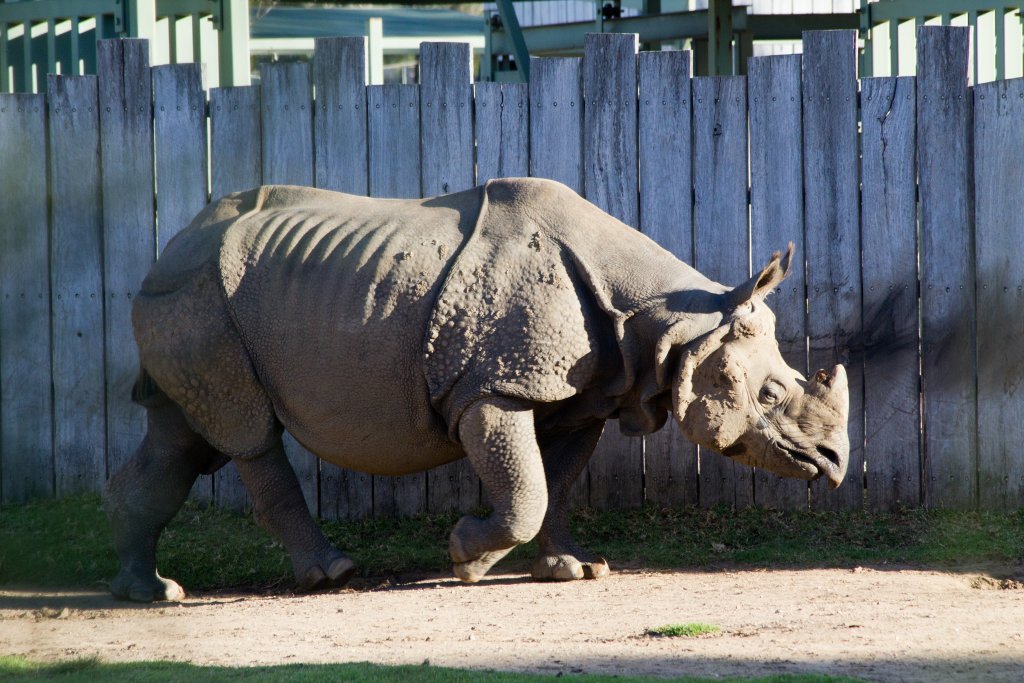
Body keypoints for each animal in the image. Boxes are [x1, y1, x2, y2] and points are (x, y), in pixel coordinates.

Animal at [104, 178, 849, 602]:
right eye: (770, 396)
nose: (836, 464)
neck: (672, 321)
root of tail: (167, 244)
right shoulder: (492, 388)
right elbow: (526, 490)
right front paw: (467, 555)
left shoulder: (582, 397)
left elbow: (556, 483)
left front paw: (574, 570)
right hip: (199, 298)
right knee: (247, 434)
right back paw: (331, 574)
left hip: (191, 300)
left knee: (178, 438)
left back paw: (151, 593)